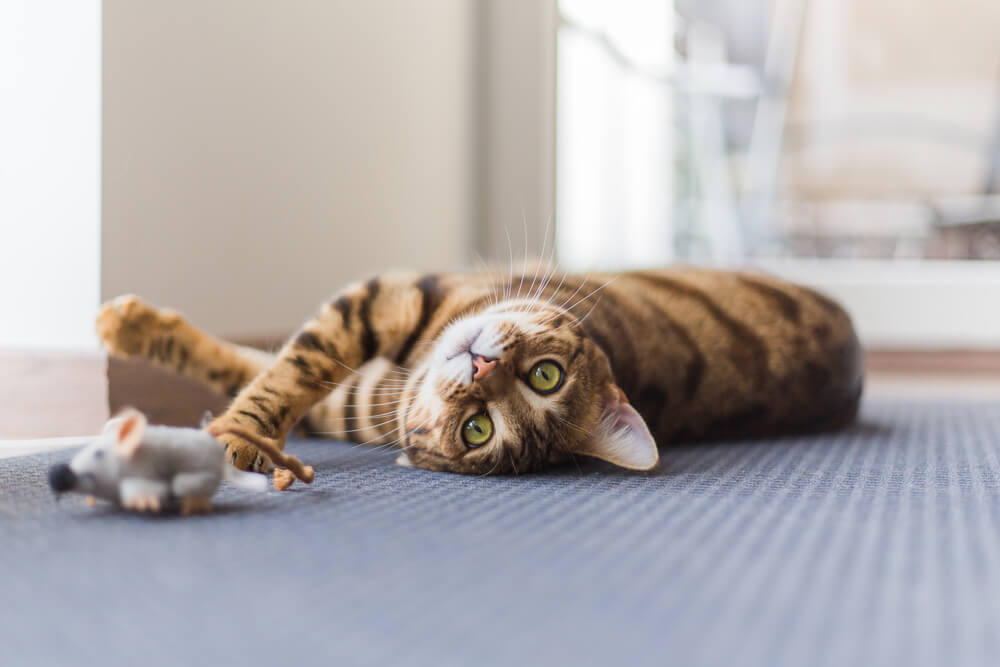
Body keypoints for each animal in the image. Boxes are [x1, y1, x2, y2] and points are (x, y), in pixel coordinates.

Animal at [97, 266, 864, 474]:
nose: (480, 367)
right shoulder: (385, 301)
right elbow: (271, 364)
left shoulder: (352, 379)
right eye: (547, 375)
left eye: (477, 429)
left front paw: (235, 436)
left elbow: (272, 372)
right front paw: (129, 325)